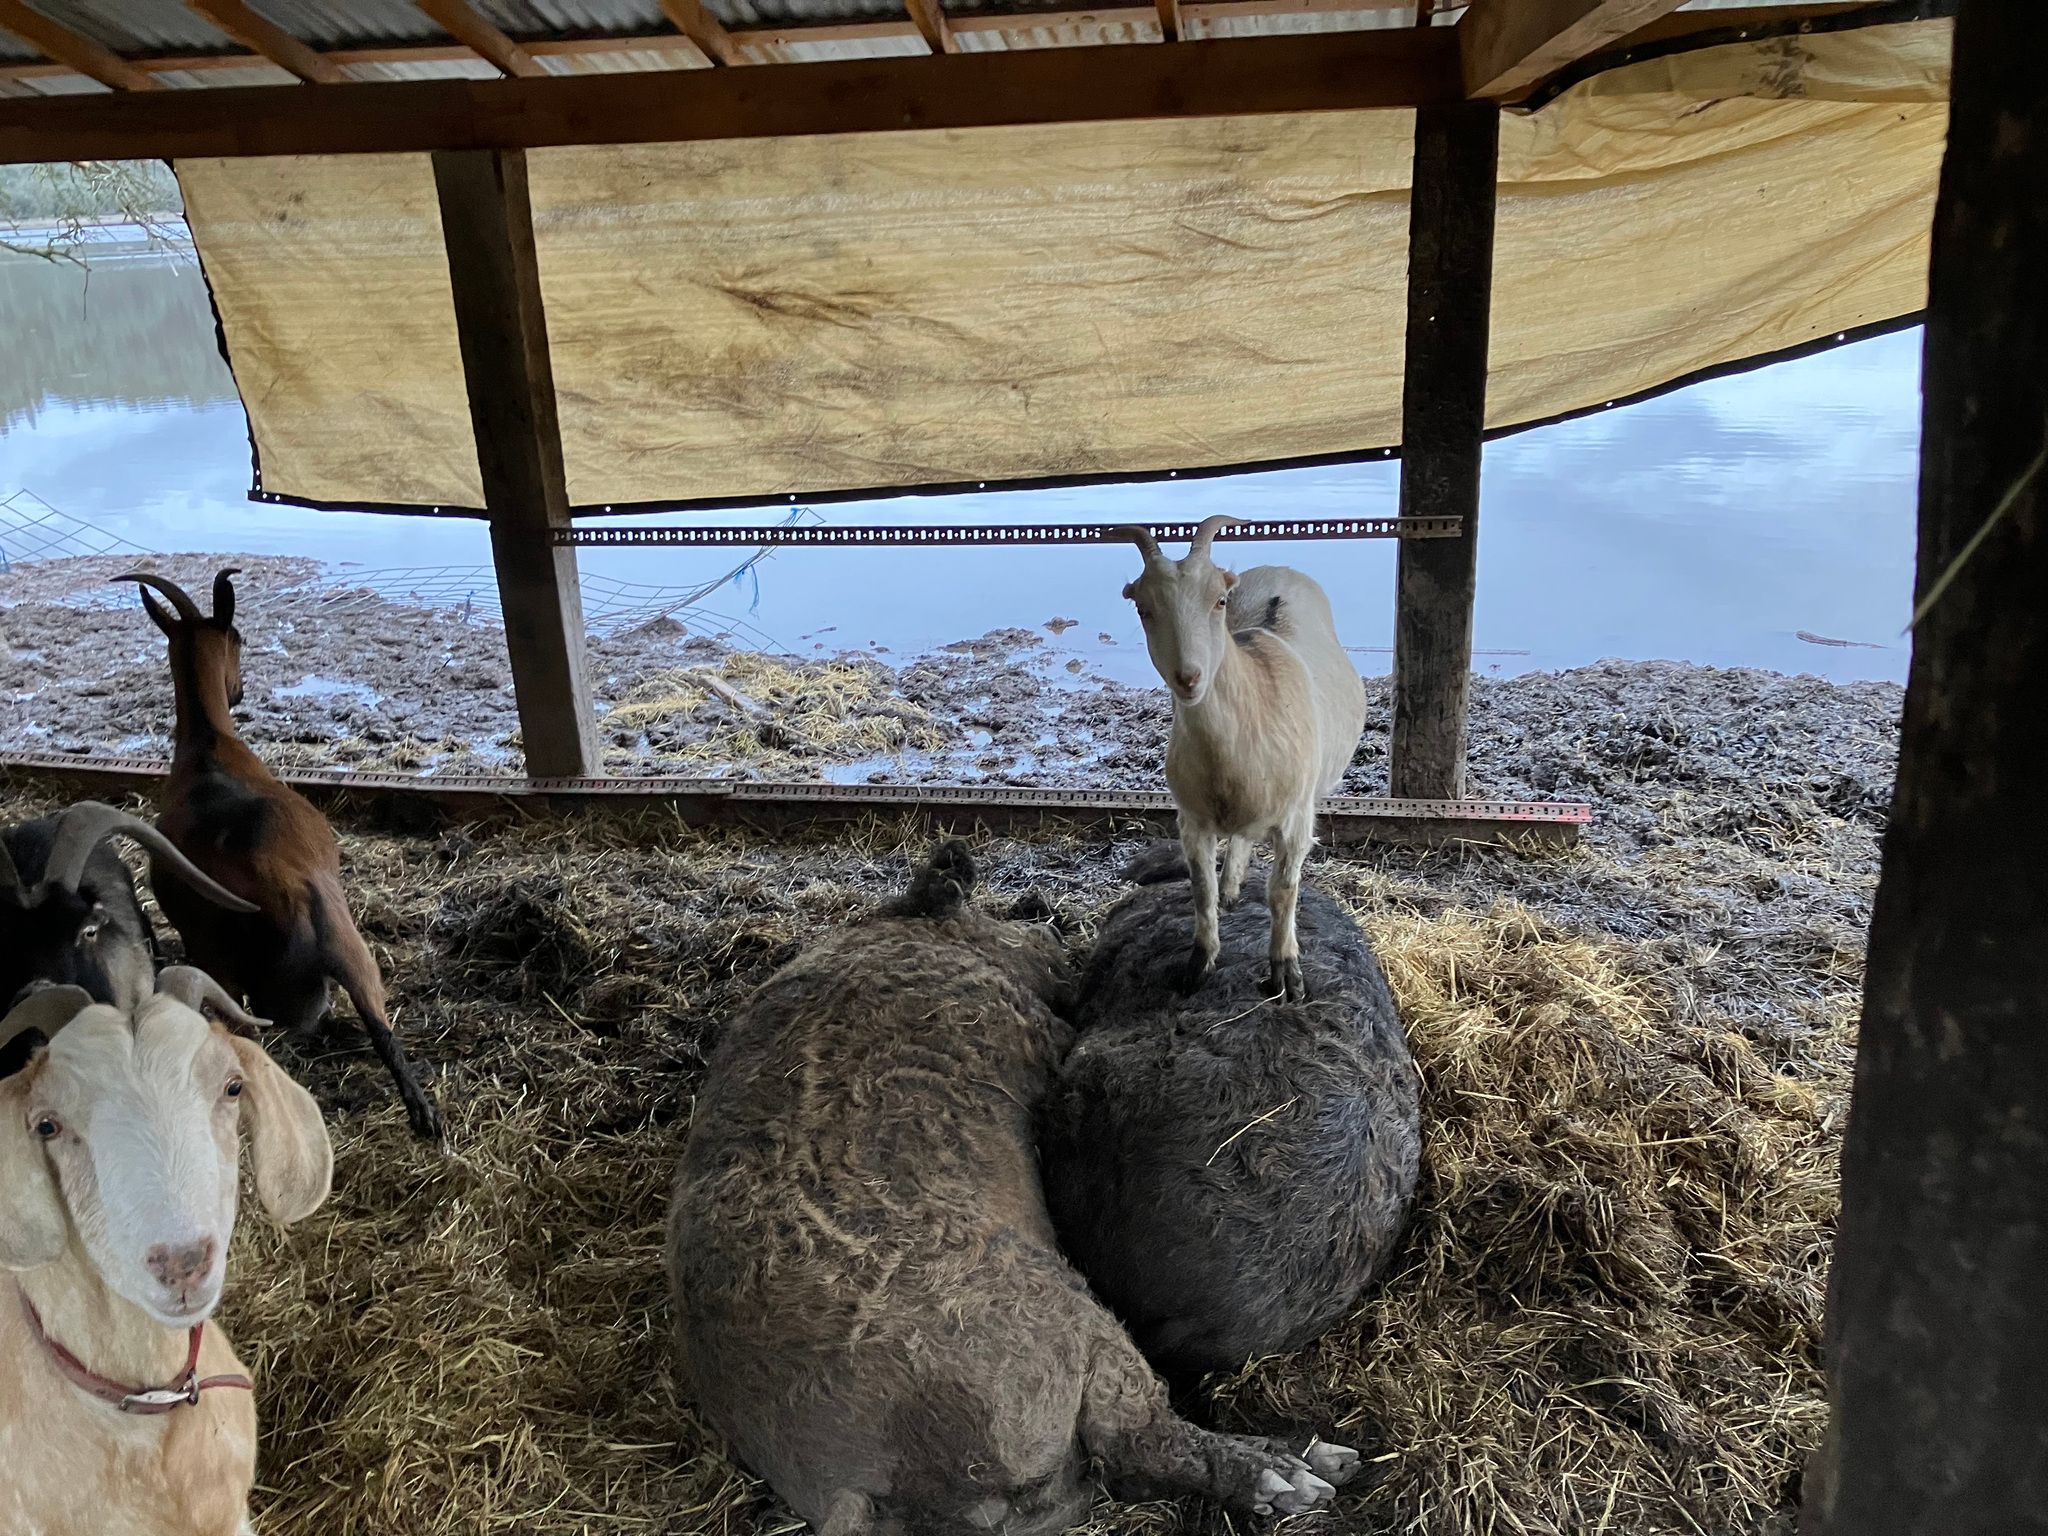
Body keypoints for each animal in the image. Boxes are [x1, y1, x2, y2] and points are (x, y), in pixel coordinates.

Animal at [118, 568, 441, 1139]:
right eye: (240, 637)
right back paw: (420, 1114)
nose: (238, 689)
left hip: (229, 968)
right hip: (345, 953)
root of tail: (281, 891)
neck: (208, 745)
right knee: (378, 1028)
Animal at [668, 841, 1359, 1536]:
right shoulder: (1041, 1033)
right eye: (993, 914)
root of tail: (855, 1479)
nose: (1043, 922)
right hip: (1066, 1330)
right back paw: (1312, 1473)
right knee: (1145, 1438)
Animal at [1110, 516, 1365, 1001]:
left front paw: (1286, 974)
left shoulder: (1296, 819)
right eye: (1142, 608)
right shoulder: (1192, 818)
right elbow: (1200, 888)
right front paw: (1199, 963)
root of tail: (1277, 570)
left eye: (1219, 600)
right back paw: (1231, 884)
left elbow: (1283, 891)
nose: (1189, 678)